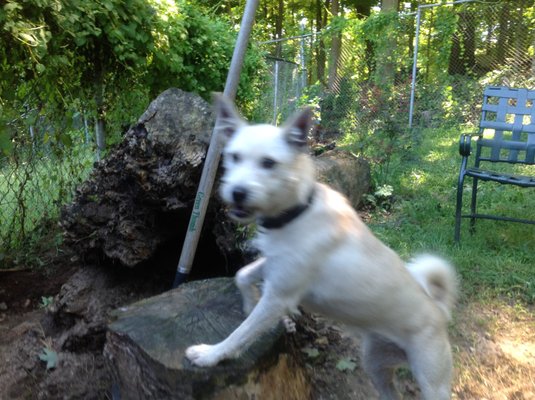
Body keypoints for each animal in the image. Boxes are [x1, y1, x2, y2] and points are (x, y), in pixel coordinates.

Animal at [186, 94, 458, 400]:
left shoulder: (279, 296)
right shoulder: (275, 267)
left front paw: (211, 354)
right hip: (376, 365)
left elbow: (240, 334)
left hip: (432, 382)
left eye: (269, 163)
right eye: (234, 157)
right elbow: (241, 275)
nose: (238, 192)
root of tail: (439, 311)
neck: (298, 211)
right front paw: (249, 302)